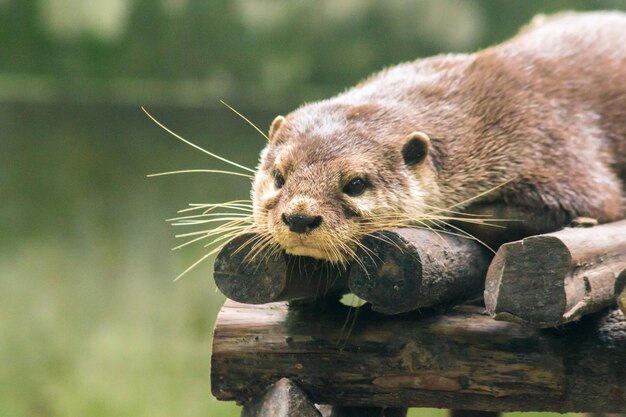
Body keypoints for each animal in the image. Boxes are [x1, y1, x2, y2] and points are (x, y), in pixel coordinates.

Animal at [249, 13, 624, 264]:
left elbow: (600, 203)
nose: (300, 217)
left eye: (355, 184)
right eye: (279, 176)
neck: (481, 119)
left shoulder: (552, 148)